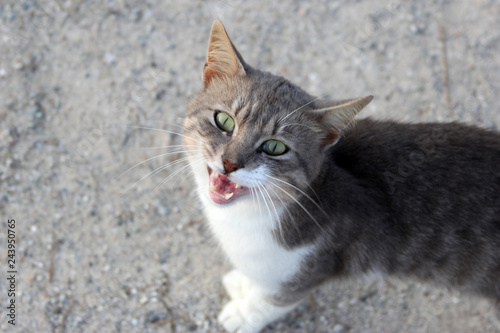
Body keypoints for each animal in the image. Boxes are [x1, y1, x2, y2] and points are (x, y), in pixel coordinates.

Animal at [183, 19, 500, 330]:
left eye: (274, 147)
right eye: (224, 121)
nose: (230, 163)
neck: (245, 218)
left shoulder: (309, 267)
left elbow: (276, 299)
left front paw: (244, 314)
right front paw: (243, 283)